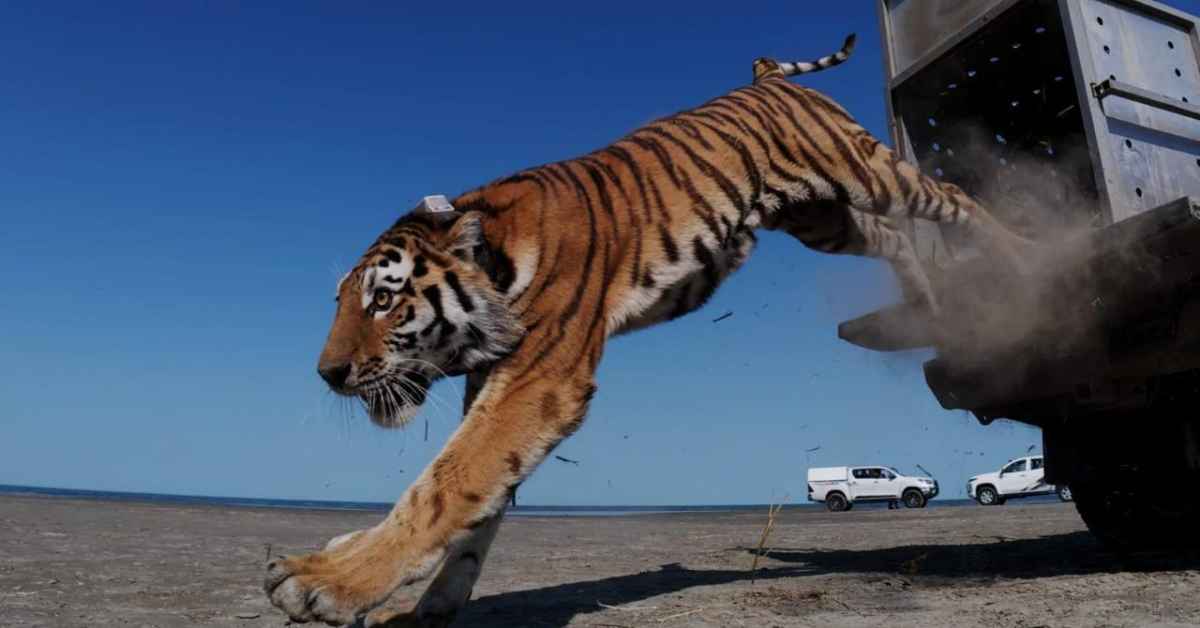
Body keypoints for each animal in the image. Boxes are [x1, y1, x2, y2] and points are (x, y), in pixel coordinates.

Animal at [265, 34, 1033, 626]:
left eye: (383, 300)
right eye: (342, 301)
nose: (327, 374)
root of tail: (766, 80)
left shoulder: (539, 382)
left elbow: (445, 484)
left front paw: (325, 580)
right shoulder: (495, 386)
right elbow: (478, 511)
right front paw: (426, 610)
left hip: (864, 169)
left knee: (950, 198)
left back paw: (1024, 253)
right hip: (821, 218)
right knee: (891, 237)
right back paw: (925, 298)